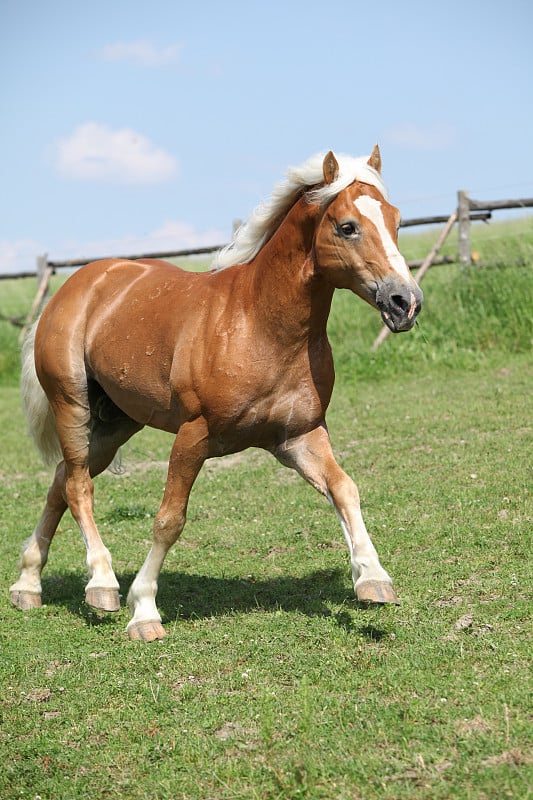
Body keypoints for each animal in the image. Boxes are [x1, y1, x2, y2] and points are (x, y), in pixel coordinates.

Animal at [10, 147, 422, 640]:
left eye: (396, 220)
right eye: (347, 226)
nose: (405, 303)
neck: (259, 326)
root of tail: (72, 288)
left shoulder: (299, 436)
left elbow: (345, 489)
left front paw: (373, 579)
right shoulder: (194, 436)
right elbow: (169, 520)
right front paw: (144, 611)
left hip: (115, 425)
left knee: (60, 483)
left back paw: (28, 584)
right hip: (72, 405)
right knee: (77, 487)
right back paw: (102, 585)